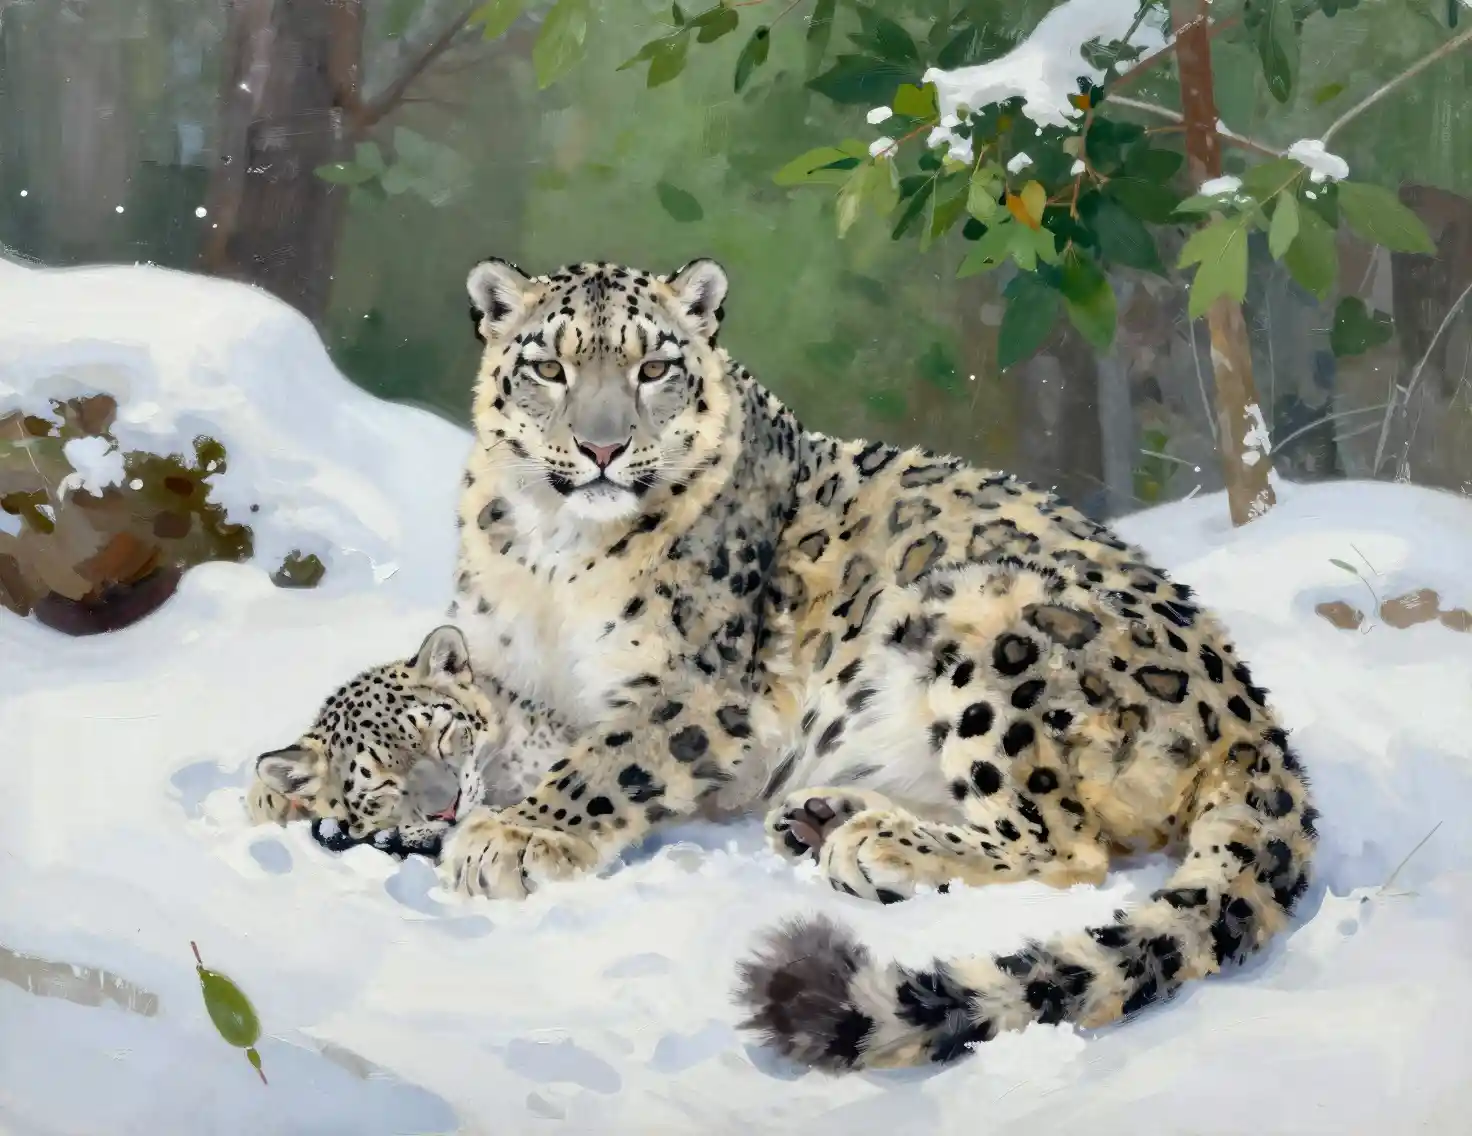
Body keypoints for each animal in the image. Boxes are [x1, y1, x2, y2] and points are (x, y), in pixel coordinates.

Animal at [253, 255, 1317, 1074]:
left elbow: (609, 756)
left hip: (987, 626)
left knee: (1067, 842)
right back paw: (824, 815)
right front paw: (292, 788)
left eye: (655, 366)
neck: (552, 554)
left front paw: (516, 837)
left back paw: (875, 844)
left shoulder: (711, 695)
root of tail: (1250, 711)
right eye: (548, 365)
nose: (601, 448)